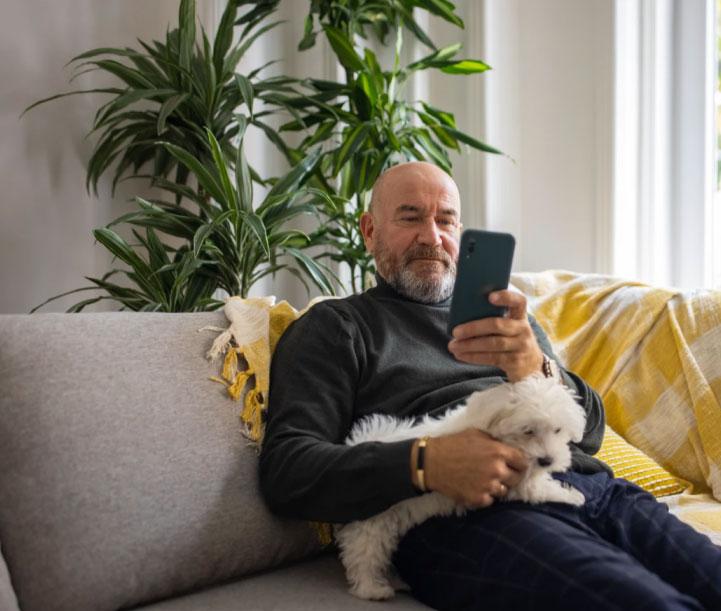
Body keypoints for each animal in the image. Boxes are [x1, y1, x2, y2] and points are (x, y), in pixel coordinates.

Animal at [334, 376, 588, 600]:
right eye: (528, 431)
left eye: (558, 430)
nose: (547, 460)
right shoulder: (512, 479)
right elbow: (540, 490)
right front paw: (573, 496)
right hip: (374, 523)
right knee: (364, 554)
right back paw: (372, 589)